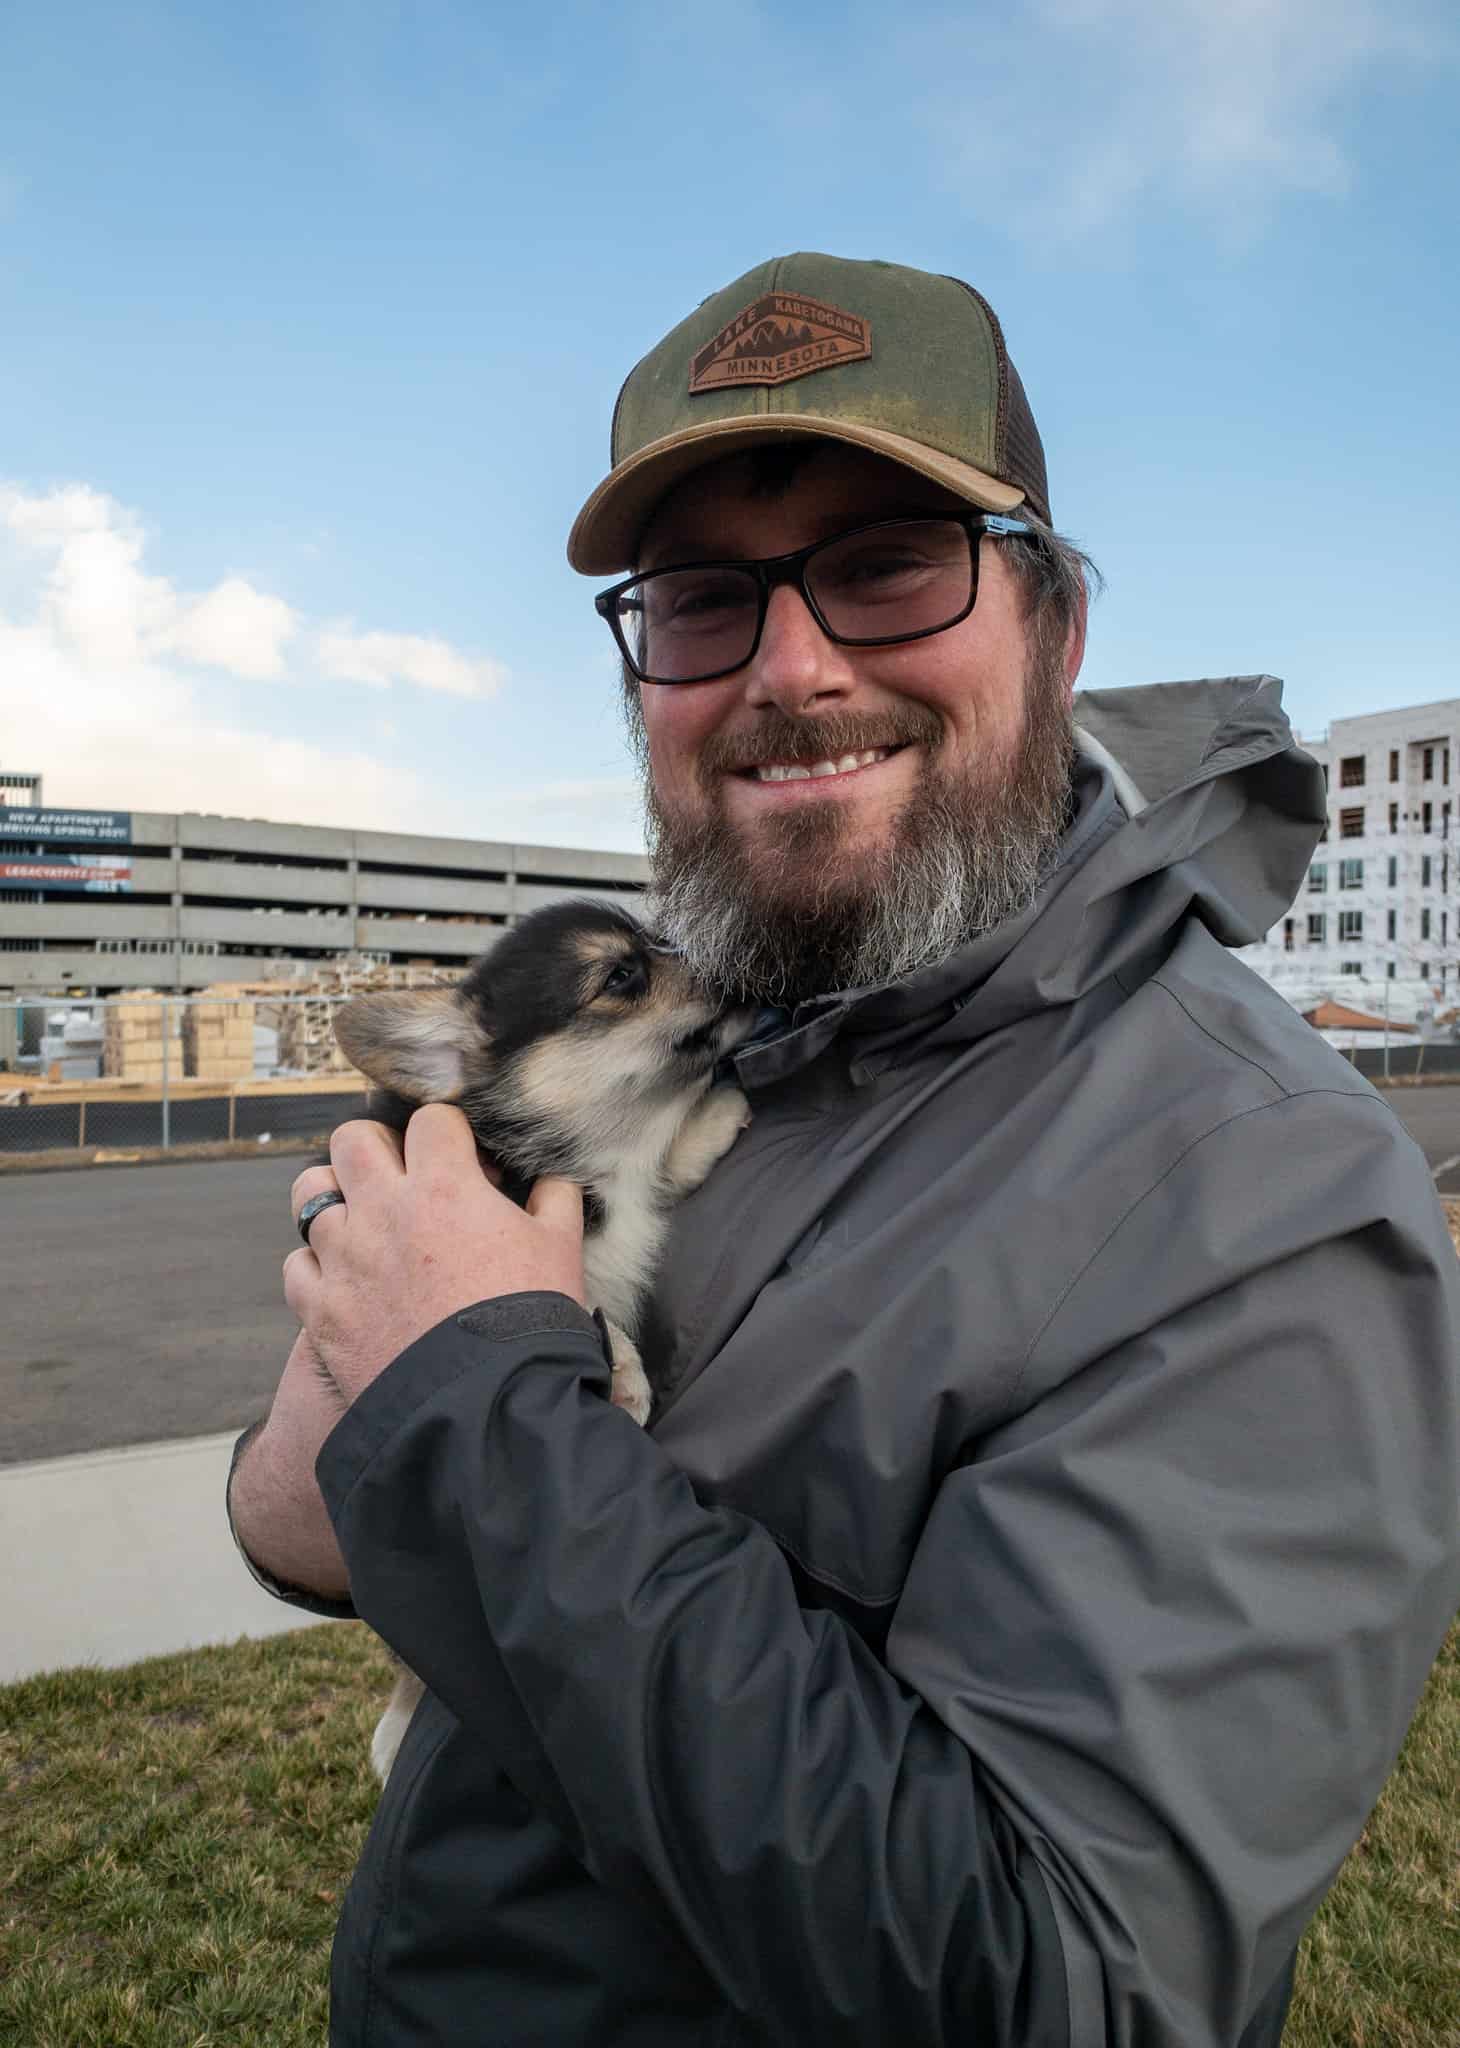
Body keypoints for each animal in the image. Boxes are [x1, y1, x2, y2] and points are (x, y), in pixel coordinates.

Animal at [325, 897, 745, 1777]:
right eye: (622, 975)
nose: (734, 966)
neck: (599, 1162)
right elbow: (577, 1298)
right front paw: (623, 1376)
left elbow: (665, 1160)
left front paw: (713, 1116)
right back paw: (395, 1731)